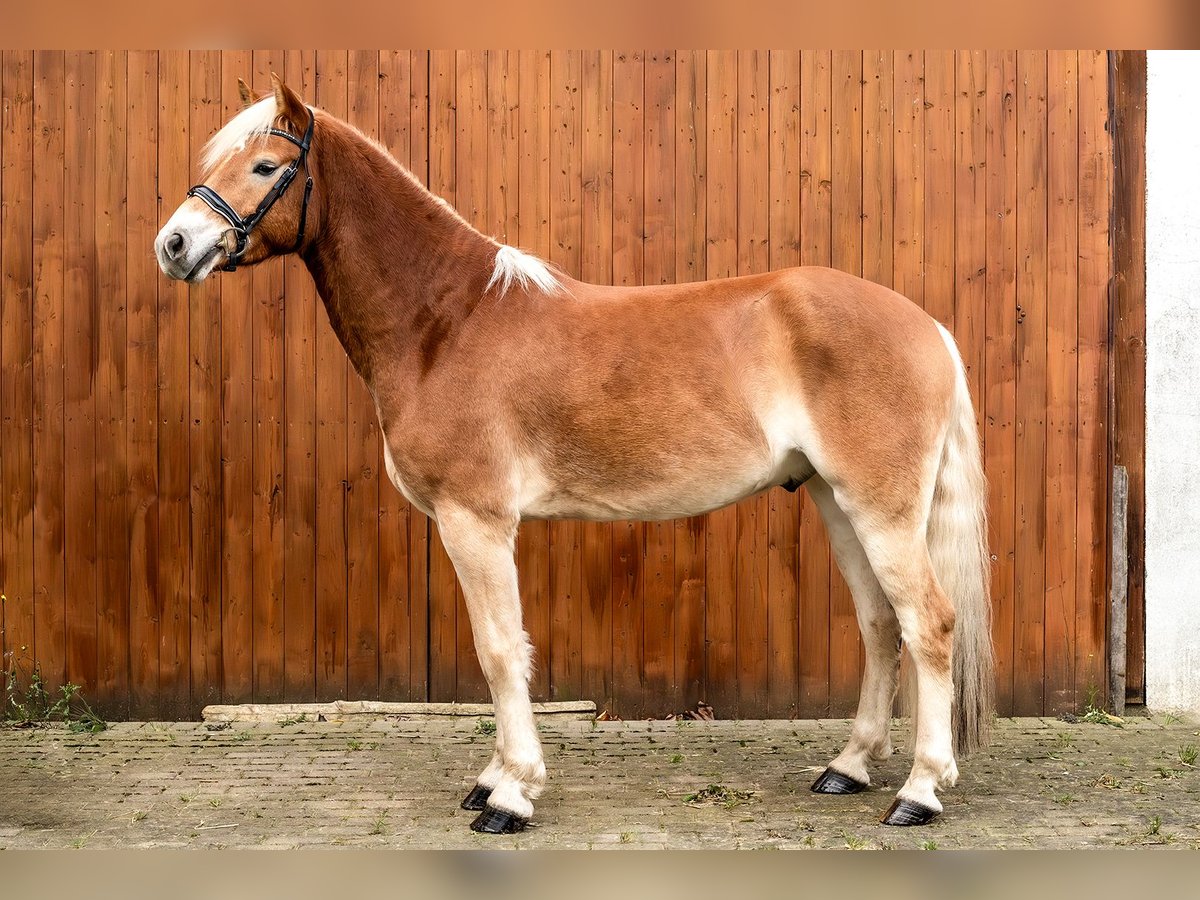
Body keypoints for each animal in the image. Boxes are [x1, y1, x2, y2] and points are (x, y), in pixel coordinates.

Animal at [154, 74, 993, 835]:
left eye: (265, 166)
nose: (175, 244)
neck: (446, 321)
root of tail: (929, 326)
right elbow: (497, 651)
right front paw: (493, 778)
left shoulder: (476, 520)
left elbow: (499, 650)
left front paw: (512, 794)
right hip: (835, 499)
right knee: (881, 625)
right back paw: (847, 768)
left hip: (880, 508)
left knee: (929, 624)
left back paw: (919, 792)